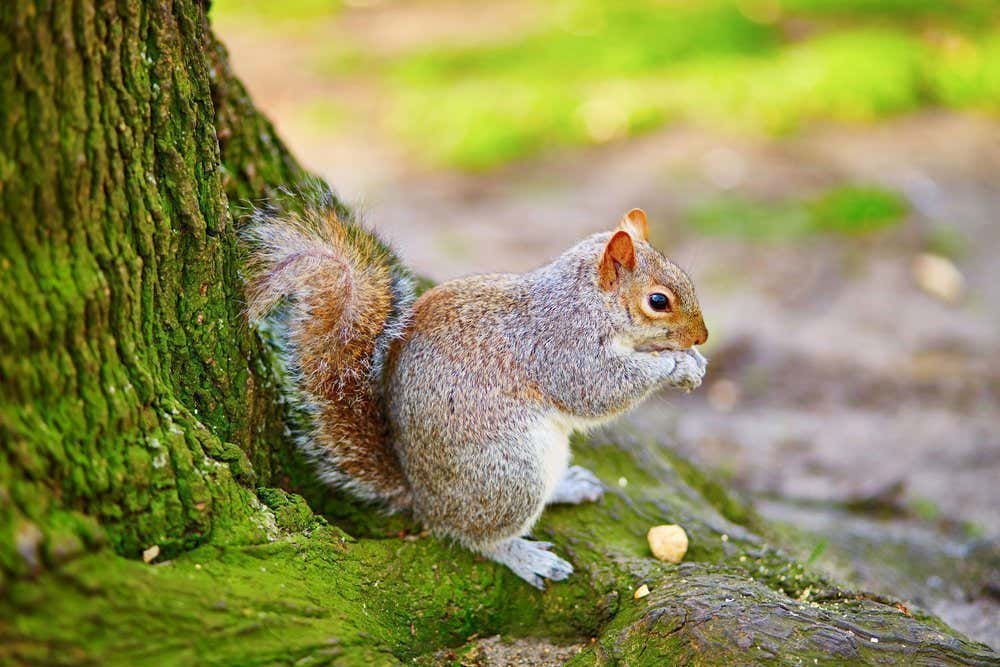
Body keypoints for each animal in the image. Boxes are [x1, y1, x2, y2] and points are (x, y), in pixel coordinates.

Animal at [245, 187, 708, 588]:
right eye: (659, 301)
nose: (702, 337)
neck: (585, 303)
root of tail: (424, 499)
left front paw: (694, 361)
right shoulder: (561, 350)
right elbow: (600, 389)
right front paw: (675, 364)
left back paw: (569, 486)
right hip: (509, 474)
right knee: (478, 537)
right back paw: (526, 556)